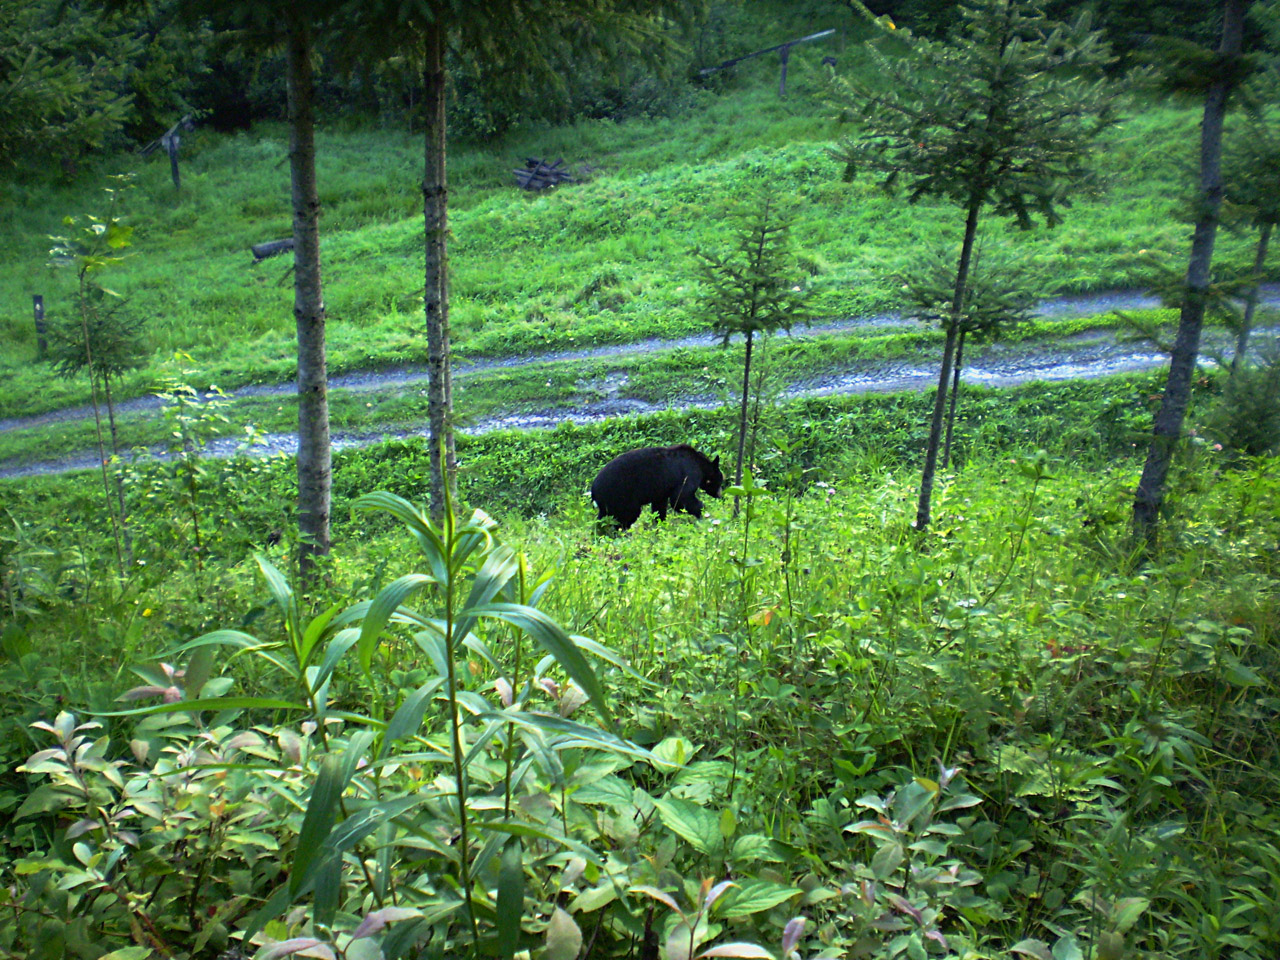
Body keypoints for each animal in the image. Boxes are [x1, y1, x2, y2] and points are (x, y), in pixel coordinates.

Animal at [586, 445, 721, 535]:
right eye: (720, 482)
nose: (720, 495)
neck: (699, 464)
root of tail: (594, 490)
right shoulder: (688, 474)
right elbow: (680, 498)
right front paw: (701, 512)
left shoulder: (660, 492)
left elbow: (659, 507)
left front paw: (660, 524)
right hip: (621, 497)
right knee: (626, 517)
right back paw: (625, 533)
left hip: (608, 504)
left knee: (602, 519)